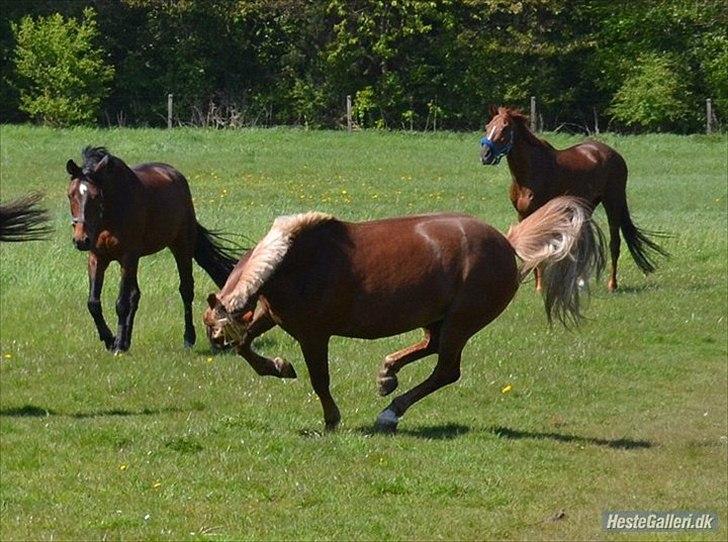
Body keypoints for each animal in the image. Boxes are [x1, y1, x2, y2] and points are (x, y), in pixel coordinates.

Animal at [67, 147, 240, 354]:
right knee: (135, 295)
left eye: (96, 196)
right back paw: (126, 341)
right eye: (70, 195)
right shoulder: (97, 258)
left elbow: (121, 303)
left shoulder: (127, 258)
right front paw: (111, 339)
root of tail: (175, 174)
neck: (110, 215)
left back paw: (188, 339)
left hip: (181, 247)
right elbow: (93, 303)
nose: (81, 240)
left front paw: (116, 344)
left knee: (186, 290)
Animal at [203, 198, 604, 432]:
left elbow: (320, 380)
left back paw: (390, 411)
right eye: (211, 329)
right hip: (438, 318)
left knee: (446, 369)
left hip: (461, 321)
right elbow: (247, 347)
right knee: (430, 346)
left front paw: (331, 419)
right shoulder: (270, 315)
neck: (292, 262)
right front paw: (279, 366)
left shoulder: (314, 335)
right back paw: (387, 374)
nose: (214, 342)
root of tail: (508, 243)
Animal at [480, 106, 668, 294]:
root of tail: (614, 155)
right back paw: (580, 282)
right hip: (587, 206)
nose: (485, 155)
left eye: (505, 128)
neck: (531, 172)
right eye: (488, 126)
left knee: (615, 243)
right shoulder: (522, 214)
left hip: (613, 202)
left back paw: (612, 285)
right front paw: (536, 285)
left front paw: (540, 287)